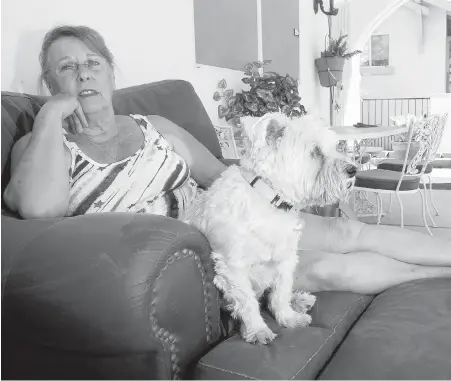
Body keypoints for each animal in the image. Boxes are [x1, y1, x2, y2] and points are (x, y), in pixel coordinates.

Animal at [184, 111, 356, 342]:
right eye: (316, 152)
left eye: (336, 147)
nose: (353, 169)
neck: (271, 201)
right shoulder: (233, 267)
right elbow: (247, 302)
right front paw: (257, 330)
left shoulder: (285, 260)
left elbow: (280, 293)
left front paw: (288, 318)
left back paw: (299, 301)